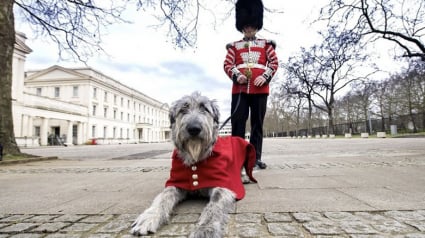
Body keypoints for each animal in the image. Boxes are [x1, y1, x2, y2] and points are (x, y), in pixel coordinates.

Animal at [130, 92, 255, 237]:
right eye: (183, 109)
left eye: (204, 108)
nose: (194, 128)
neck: (196, 158)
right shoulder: (176, 182)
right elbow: (163, 196)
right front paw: (149, 217)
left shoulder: (223, 184)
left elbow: (214, 205)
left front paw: (205, 229)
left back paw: (244, 177)